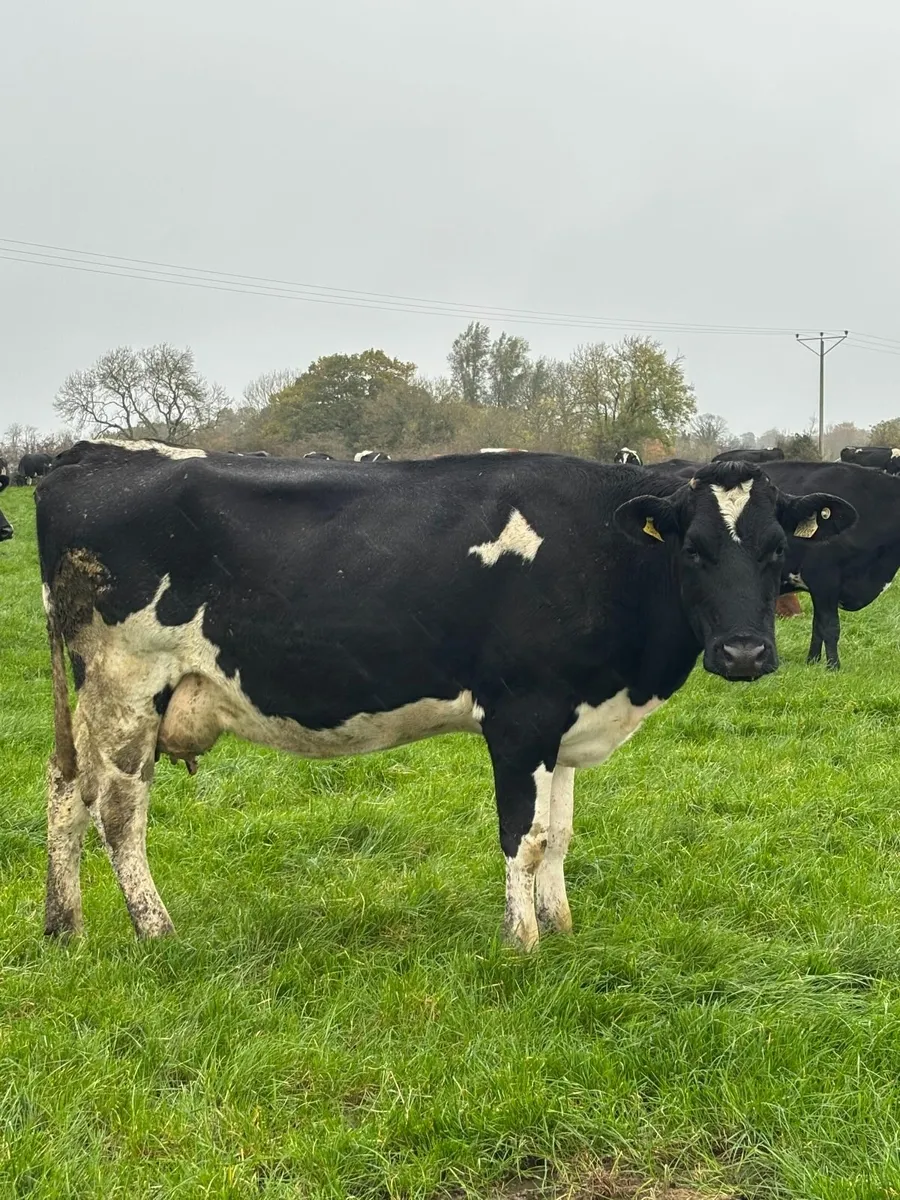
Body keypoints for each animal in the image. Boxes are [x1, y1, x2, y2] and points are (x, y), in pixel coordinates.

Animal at [37, 442, 853, 949]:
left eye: (778, 549)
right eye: (694, 550)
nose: (743, 653)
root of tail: (88, 457)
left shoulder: (567, 722)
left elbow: (561, 835)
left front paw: (561, 927)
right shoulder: (522, 716)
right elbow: (524, 837)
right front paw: (522, 941)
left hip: (99, 697)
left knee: (66, 788)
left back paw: (64, 925)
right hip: (127, 682)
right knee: (118, 812)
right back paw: (156, 932)